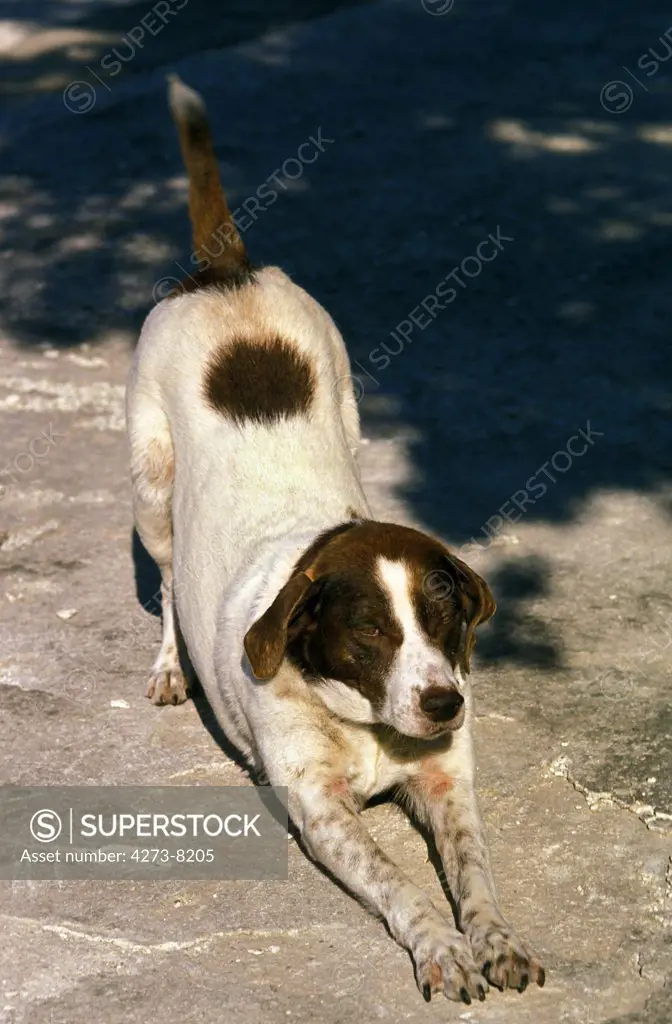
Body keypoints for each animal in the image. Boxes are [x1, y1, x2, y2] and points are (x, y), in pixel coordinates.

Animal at [126, 75, 544, 1003]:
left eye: (444, 619)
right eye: (370, 633)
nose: (446, 703)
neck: (366, 722)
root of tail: (226, 273)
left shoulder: (449, 782)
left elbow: (476, 873)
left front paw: (495, 937)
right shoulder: (319, 811)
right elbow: (400, 883)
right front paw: (441, 947)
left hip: (349, 407)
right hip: (150, 489)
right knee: (166, 582)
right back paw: (171, 665)